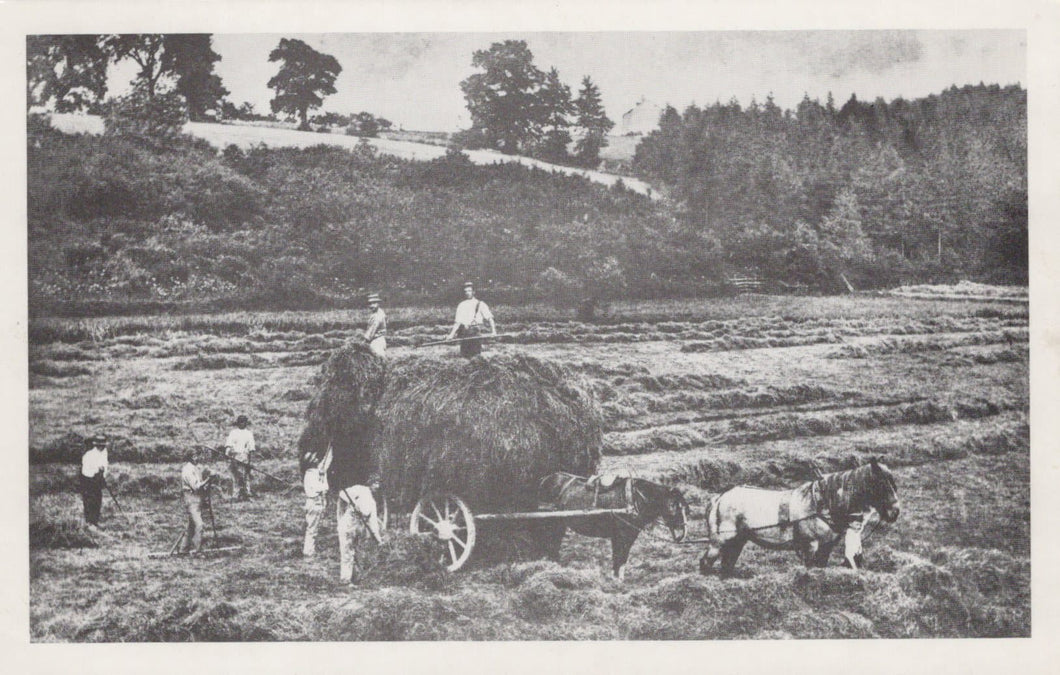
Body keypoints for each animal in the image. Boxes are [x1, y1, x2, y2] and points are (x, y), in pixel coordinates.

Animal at [538, 474, 686, 580]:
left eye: (685, 507)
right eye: (673, 505)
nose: (682, 530)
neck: (634, 499)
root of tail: (546, 479)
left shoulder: (621, 535)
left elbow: (619, 557)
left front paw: (616, 577)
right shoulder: (624, 535)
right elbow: (621, 556)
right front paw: (618, 579)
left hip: (560, 523)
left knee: (554, 543)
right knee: (551, 542)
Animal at [699, 455, 898, 576]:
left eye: (893, 482)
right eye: (881, 483)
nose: (895, 512)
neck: (822, 503)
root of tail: (720, 498)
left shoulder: (826, 547)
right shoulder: (810, 546)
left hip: (737, 541)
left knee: (727, 565)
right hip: (719, 542)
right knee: (706, 563)